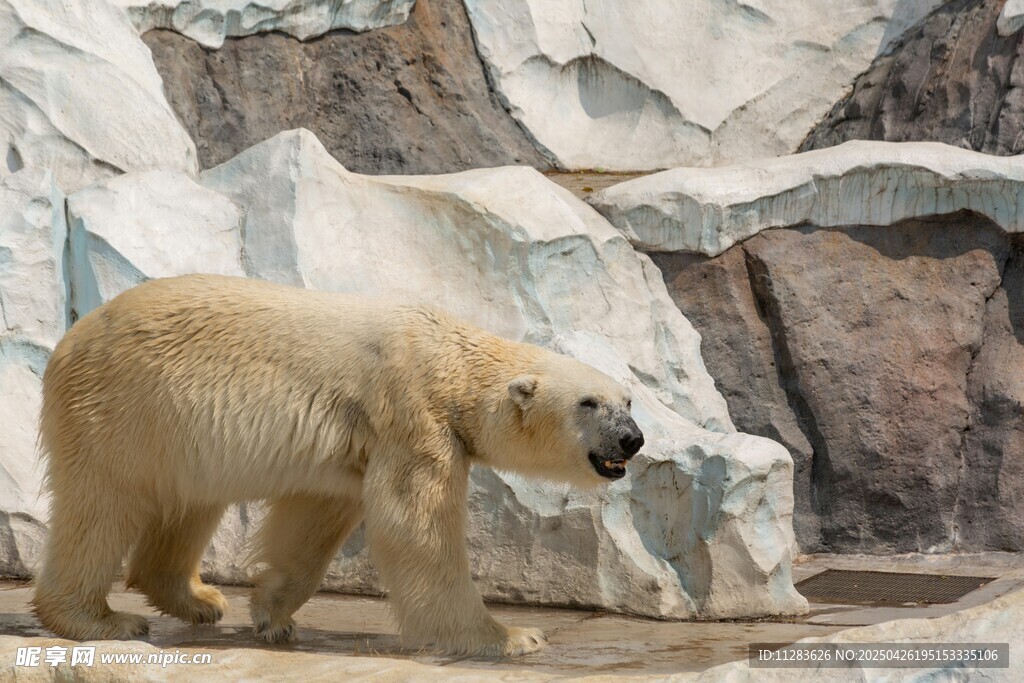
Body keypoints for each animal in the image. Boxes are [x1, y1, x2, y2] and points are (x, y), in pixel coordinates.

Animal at [32, 273, 644, 656]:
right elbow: (416, 528)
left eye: (629, 400)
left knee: (190, 501)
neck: (451, 359)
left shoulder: (358, 442)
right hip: (122, 406)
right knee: (101, 505)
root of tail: (69, 339)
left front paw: (272, 613)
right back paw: (100, 619)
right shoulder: (413, 414)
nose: (633, 440)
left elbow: (317, 517)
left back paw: (199, 598)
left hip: (178, 430)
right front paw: (512, 637)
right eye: (589, 403)